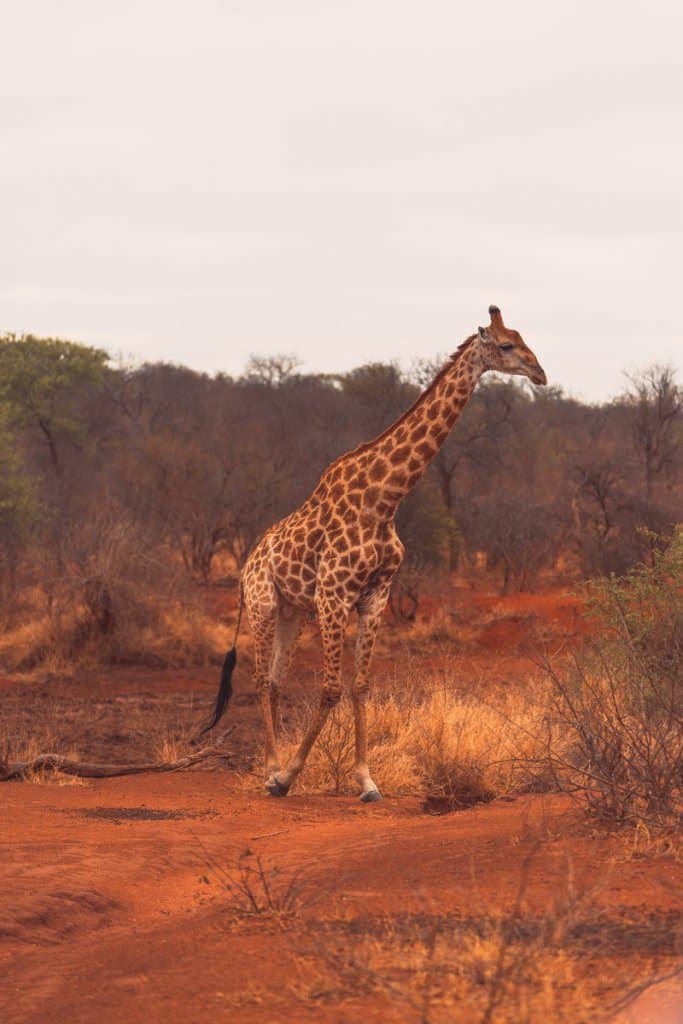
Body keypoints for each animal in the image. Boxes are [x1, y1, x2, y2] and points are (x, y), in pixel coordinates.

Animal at [202, 305, 547, 801]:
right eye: (505, 344)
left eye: (522, 338)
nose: (540, 374)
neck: (385, 499)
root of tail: (248, 562)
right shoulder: (333, 596)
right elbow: (330, 688)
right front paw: (289, 776)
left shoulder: (375, 597)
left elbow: (360, 684)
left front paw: (366, 779)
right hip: (264, 603)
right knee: (259, 679)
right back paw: (270, 770)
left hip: (292, 612)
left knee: (275, 680)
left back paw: (274, 764)